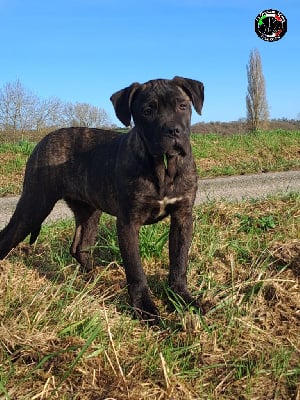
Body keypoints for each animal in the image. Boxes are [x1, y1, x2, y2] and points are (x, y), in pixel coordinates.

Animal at [0, 76, 204, 324]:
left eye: (183, 106)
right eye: (147, 111)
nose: (173, 130)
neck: (163, 167)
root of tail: (43, 139)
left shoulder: (183, 216)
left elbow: (179, 261)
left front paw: (183, 298)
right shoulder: (128, 223)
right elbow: (135, 270)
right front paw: (146, 309)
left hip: (89, 211)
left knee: (79, 247)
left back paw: (93, 277)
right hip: (35, 203)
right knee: (7, 237)